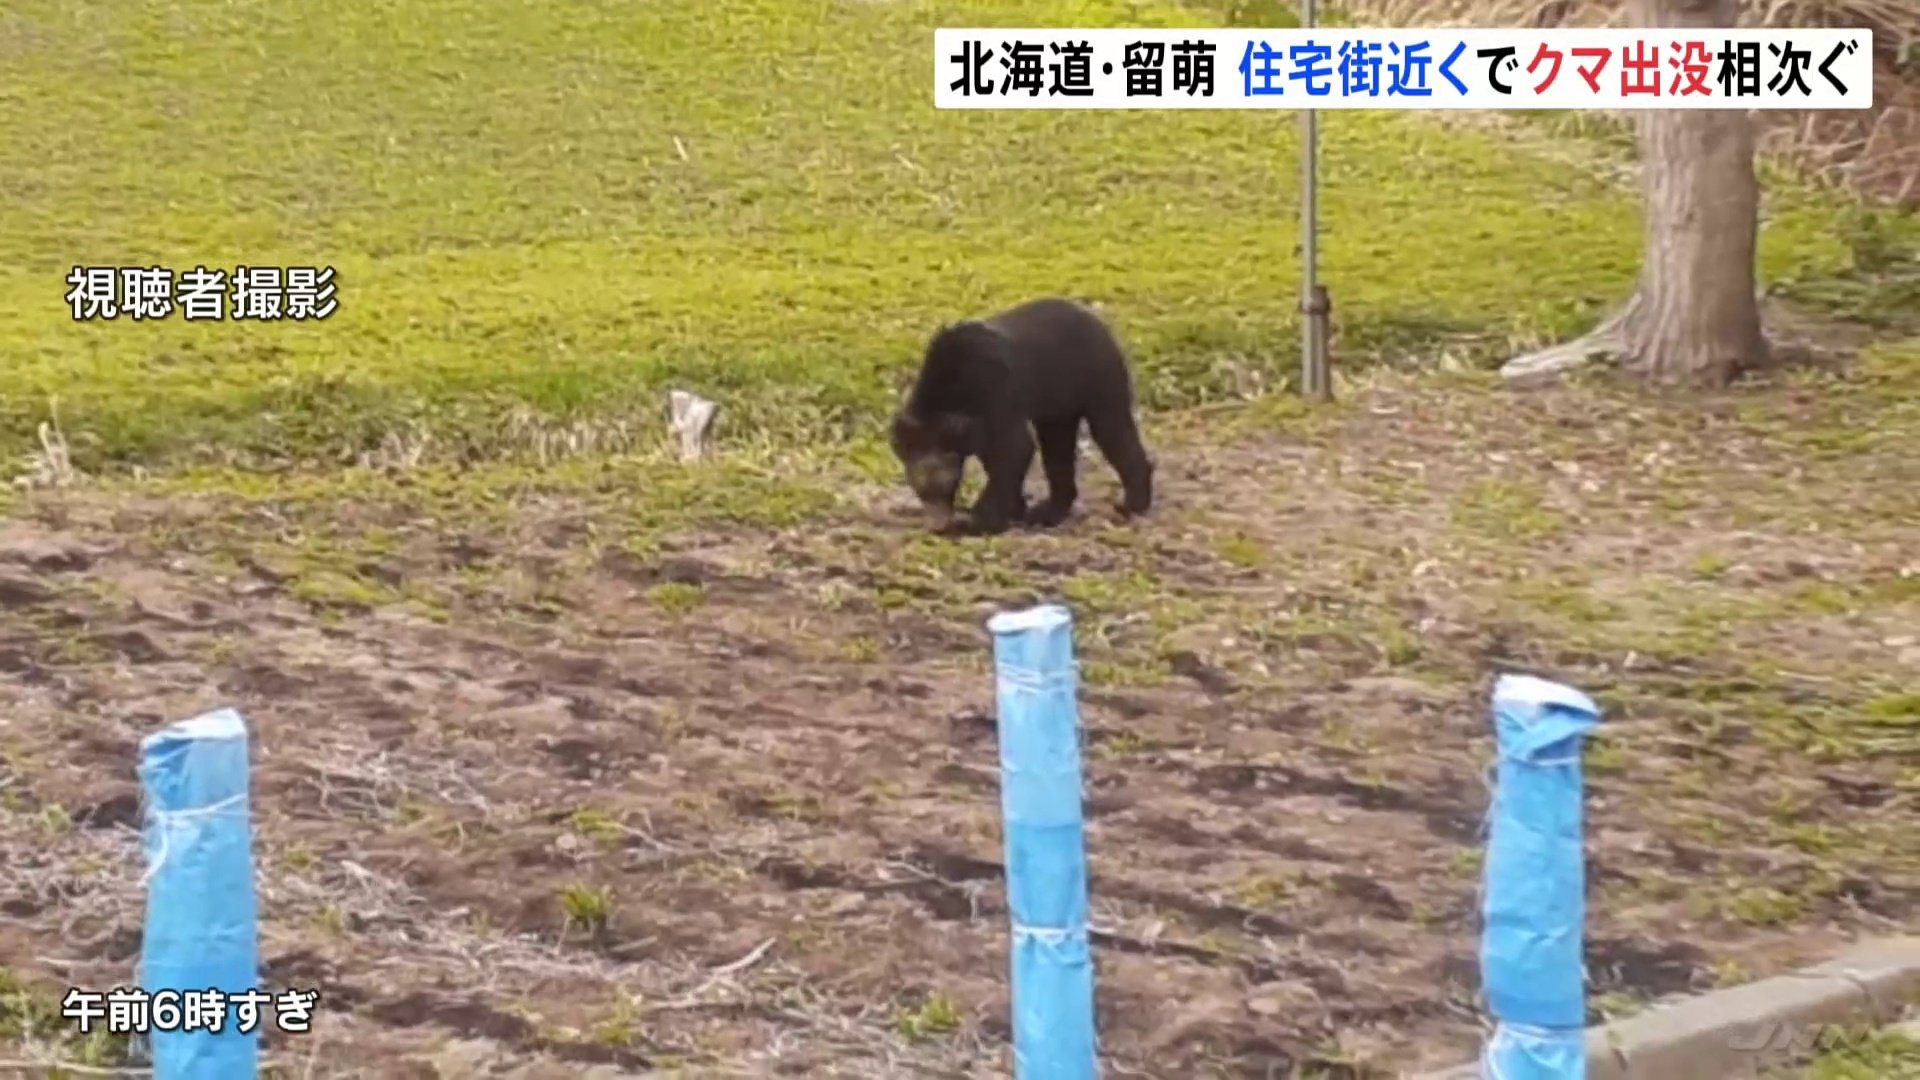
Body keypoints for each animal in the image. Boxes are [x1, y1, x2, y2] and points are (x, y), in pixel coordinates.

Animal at [887, 294, 1152, 534]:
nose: (938, 526)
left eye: (946, 485)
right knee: (1058, 447)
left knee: (1111, 428)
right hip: (1058, 403)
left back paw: (1132, 503)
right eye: (920, 489)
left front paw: (977, 520)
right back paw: (1048, 510)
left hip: (1097, 376)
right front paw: (1014, 508)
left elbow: (1014, 447)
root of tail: (1098, 320)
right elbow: (997, 456)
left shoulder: (996, 390)